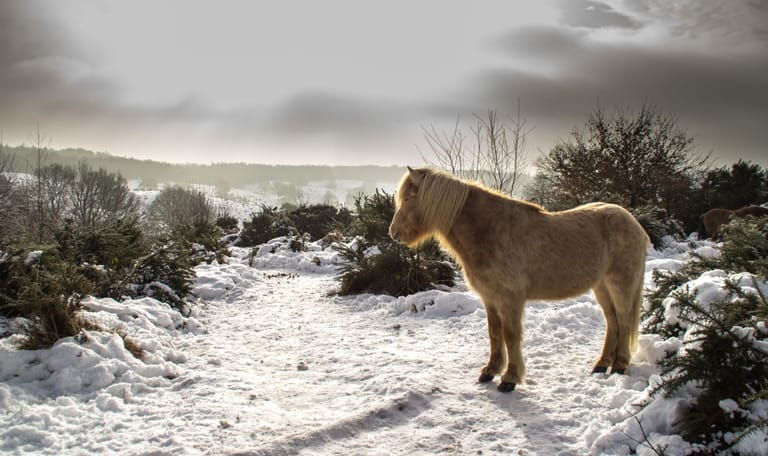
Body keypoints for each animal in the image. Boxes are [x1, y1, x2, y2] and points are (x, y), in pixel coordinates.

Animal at [389, 167, 649, 393]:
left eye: (409, 198)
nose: (394, 233)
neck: (489, 231)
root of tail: (634, 223)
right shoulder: (490, 298)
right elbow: (494, 333)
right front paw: (490, 371)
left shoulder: (510, 299)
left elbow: (510, 336)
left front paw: (510, 379)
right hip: (601, 287)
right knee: (612, 322)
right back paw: (602, 364)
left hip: (620, 284)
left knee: (623, 319)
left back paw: (619, 365)